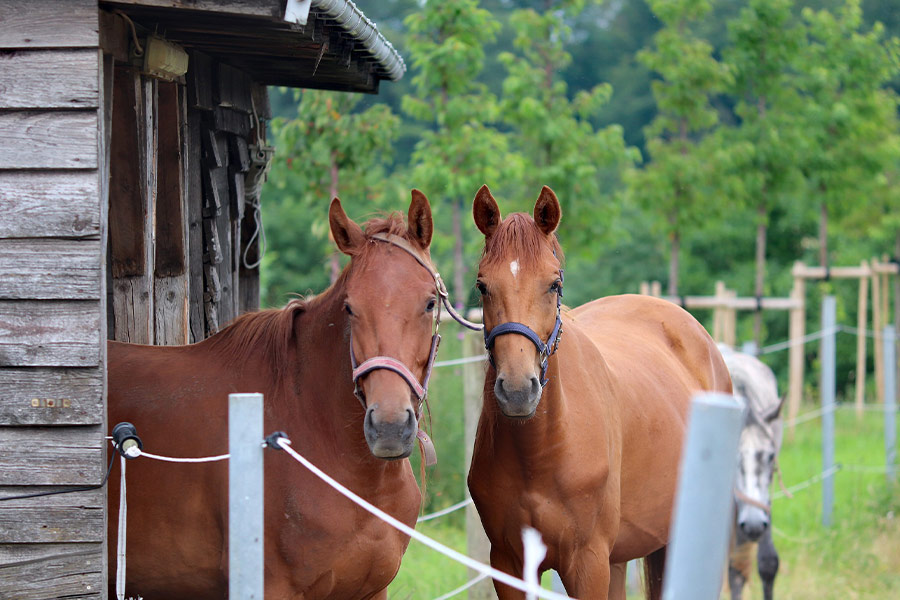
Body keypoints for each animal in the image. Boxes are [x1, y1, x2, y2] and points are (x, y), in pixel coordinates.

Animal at [466, 185, 733, 600]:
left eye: (554, 284)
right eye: (482, 286)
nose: (517, 389)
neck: (541, 452)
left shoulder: (587, 563)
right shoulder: (508, 564)